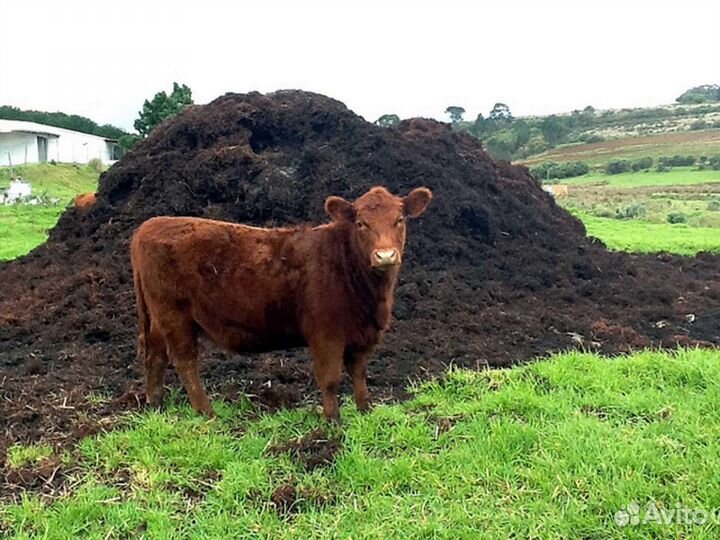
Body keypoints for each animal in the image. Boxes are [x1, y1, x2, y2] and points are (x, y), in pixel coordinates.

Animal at [130, 188, 430, 420]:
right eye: (361, 224)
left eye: (399, 220)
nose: (385, 255)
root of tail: (149, 225)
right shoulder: (326, 333)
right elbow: (330, 378)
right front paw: (332, 420)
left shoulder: (362, 334)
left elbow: (359, 373)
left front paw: (364, 410)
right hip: (174, 314)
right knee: (185, 360)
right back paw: (207, 412)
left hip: (159, 318)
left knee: (155, 354)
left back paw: (155, 405)